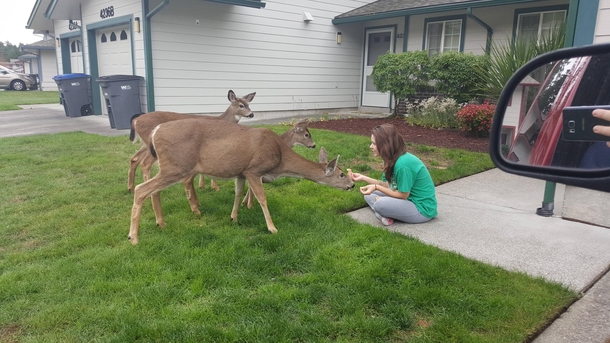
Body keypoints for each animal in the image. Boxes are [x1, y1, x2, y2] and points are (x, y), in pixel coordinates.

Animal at [129, 118, 356, 245]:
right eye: (341, 174)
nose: (352, 185)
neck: (280, 159)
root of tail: (155, 131)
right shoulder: (254, 170)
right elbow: (262, 198)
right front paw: (272, 228)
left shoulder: (241, 172)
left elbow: (238, 193)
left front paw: (234, 217)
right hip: (177, 166)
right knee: (141, 189)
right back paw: (134, 237)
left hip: (171, 167)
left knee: (152, 189)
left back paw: (161, 222)